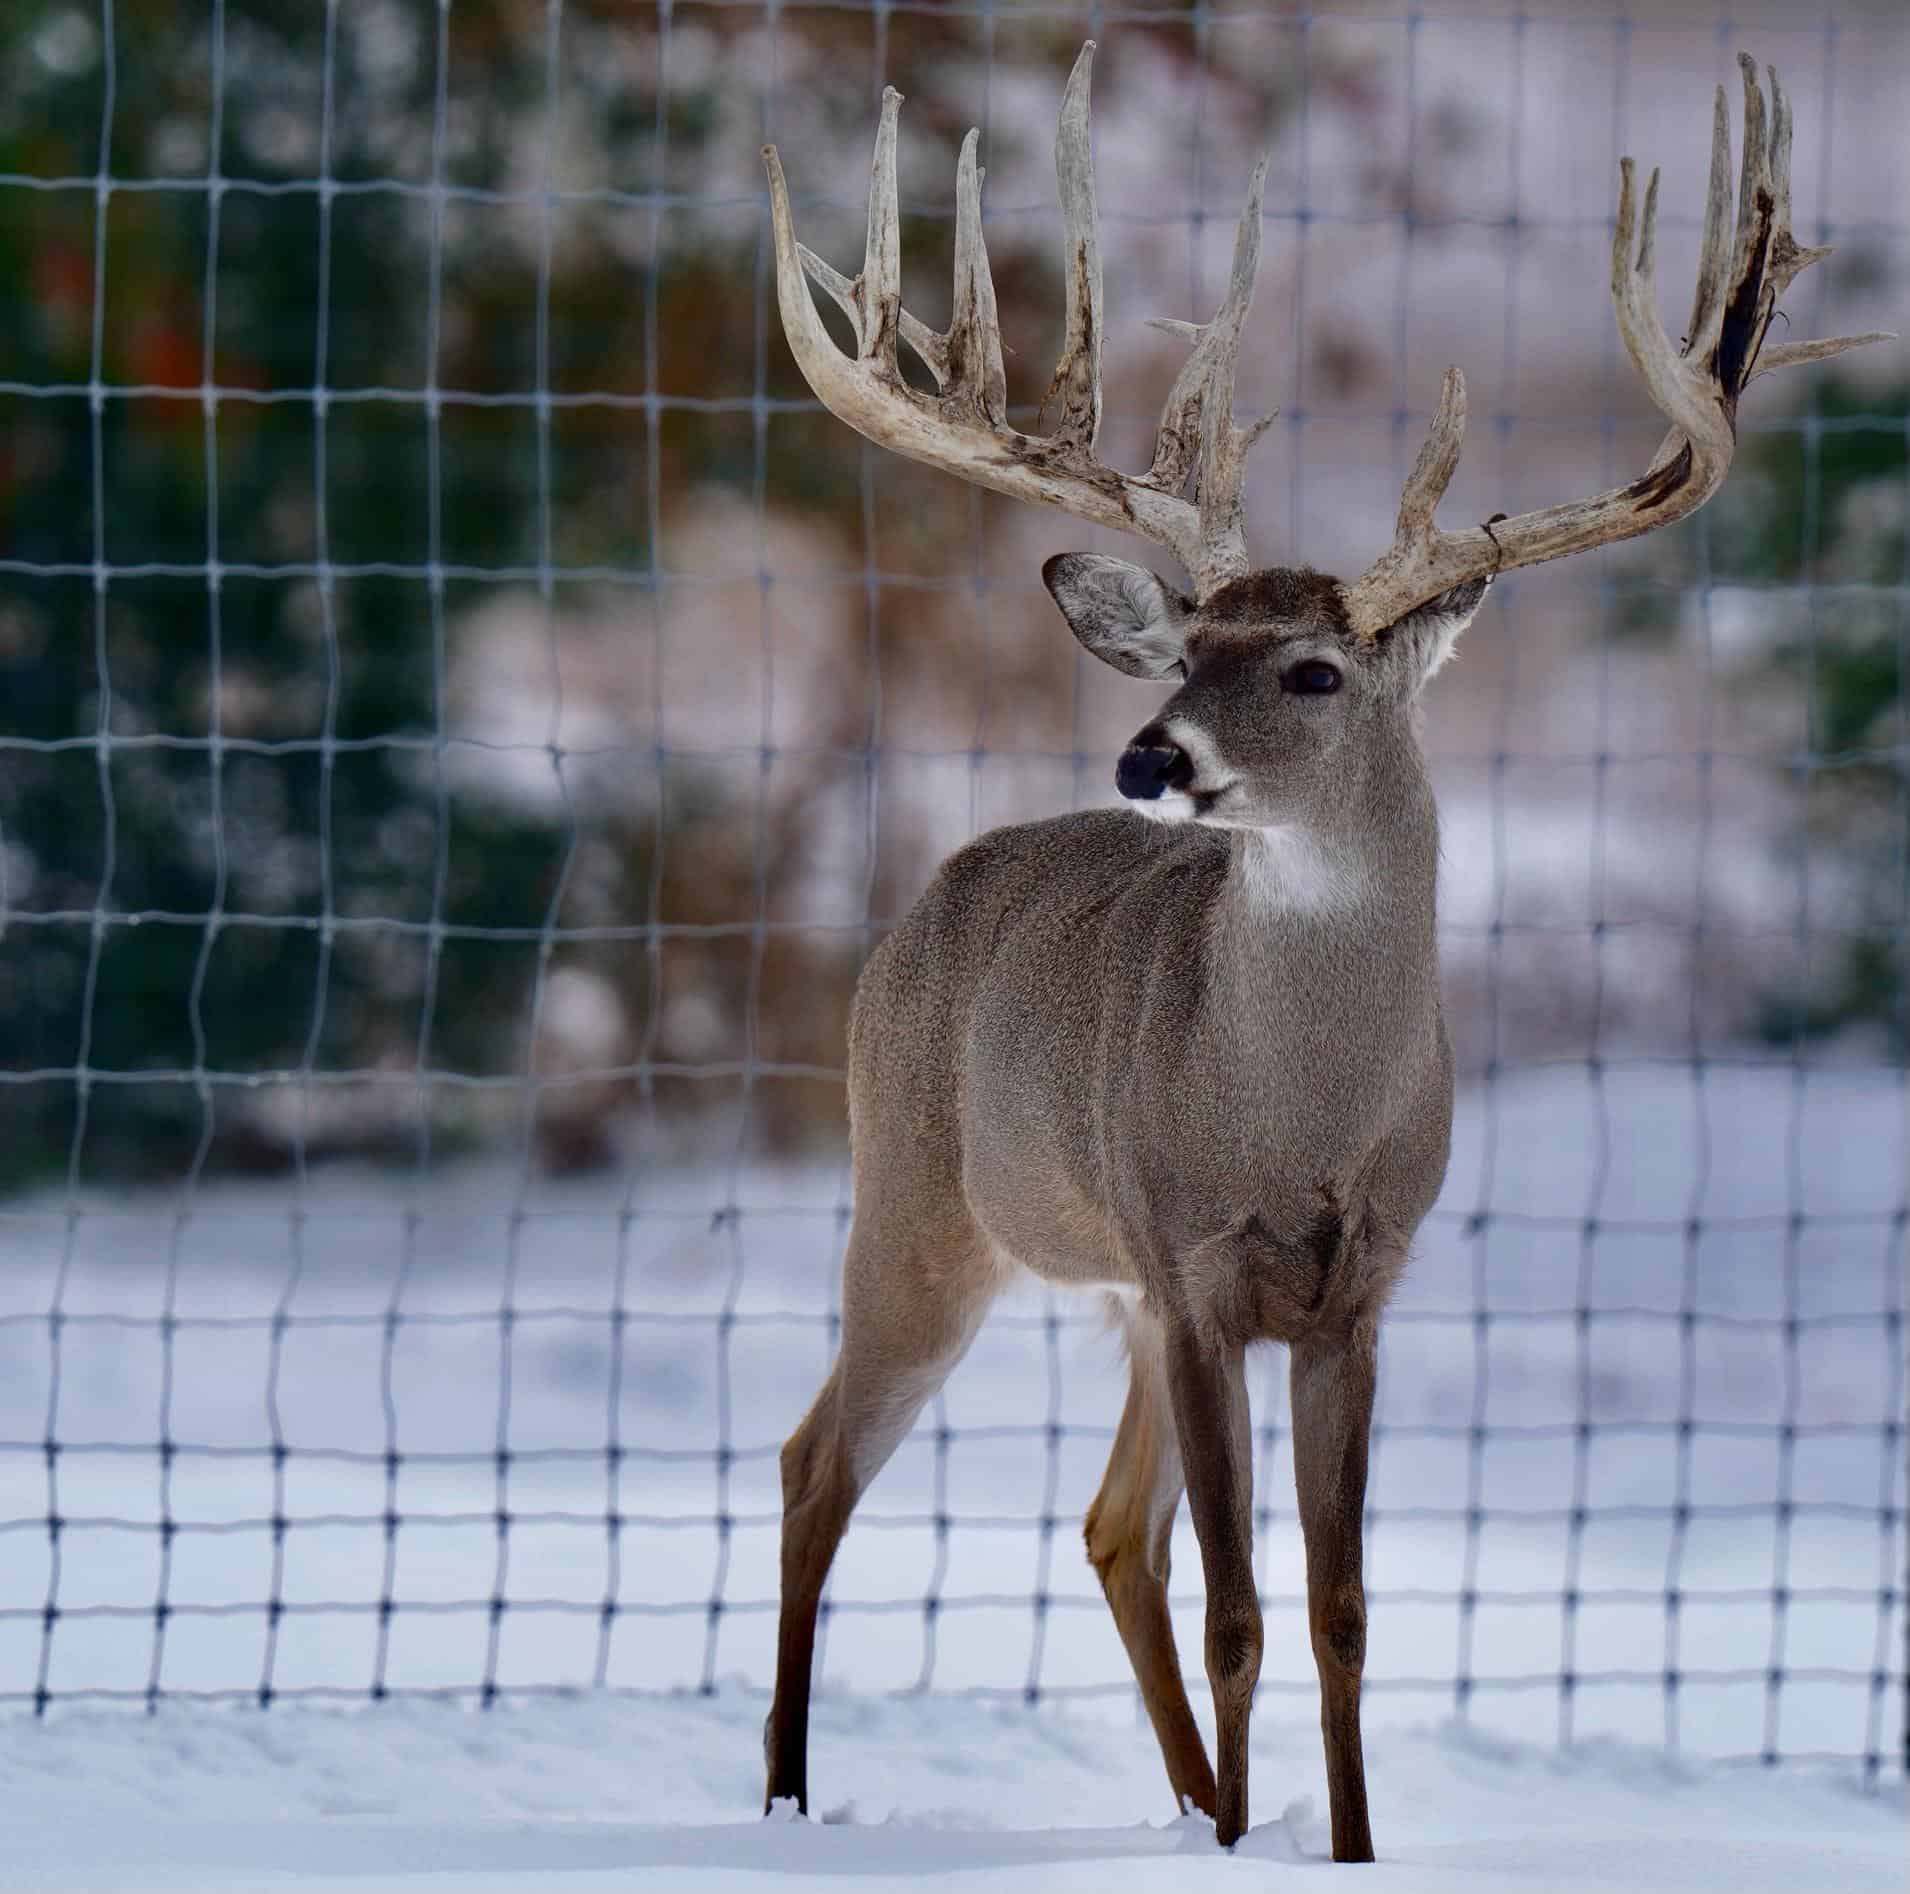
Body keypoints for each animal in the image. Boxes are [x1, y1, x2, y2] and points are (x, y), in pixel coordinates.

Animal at [755, 45, 1886, 1861]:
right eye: (1186, 651)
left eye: (1309, 671)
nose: (1148, 754)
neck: (1301, 1121)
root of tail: (924, 902)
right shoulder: (1197, 1261)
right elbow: (1243, 1607)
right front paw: (1259, 1842)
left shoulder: (1356, 1284)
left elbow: (1340, 1605)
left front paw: (1338, 1846)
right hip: (928, 1202)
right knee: (816, 1465)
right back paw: (790, 1793)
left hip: (1101, 1284)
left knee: (1106, 1523)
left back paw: (1190, 1803)